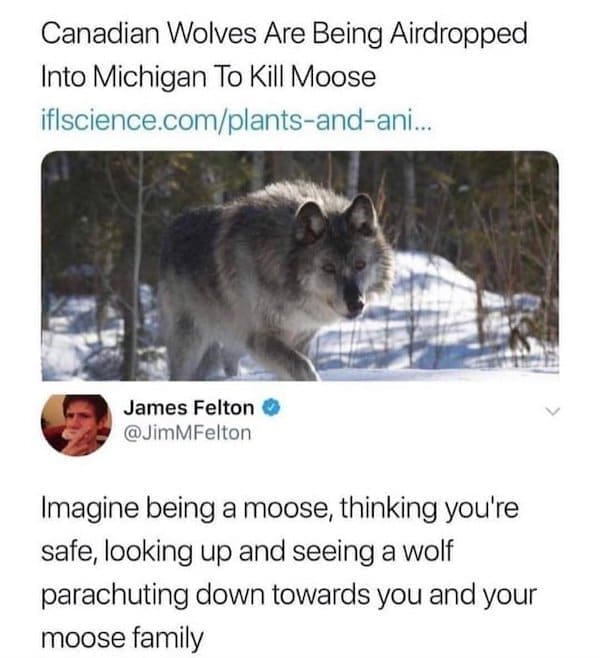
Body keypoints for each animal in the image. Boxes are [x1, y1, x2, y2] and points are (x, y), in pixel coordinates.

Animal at [159, 181, 394, 380]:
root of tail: (172, 226)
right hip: (193, 343)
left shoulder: (301, 339)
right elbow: (304, 367)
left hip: (232, 343)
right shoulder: (261, 339)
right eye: (328, 268)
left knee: (227, 362)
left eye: (360, 265)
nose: (356, 304)